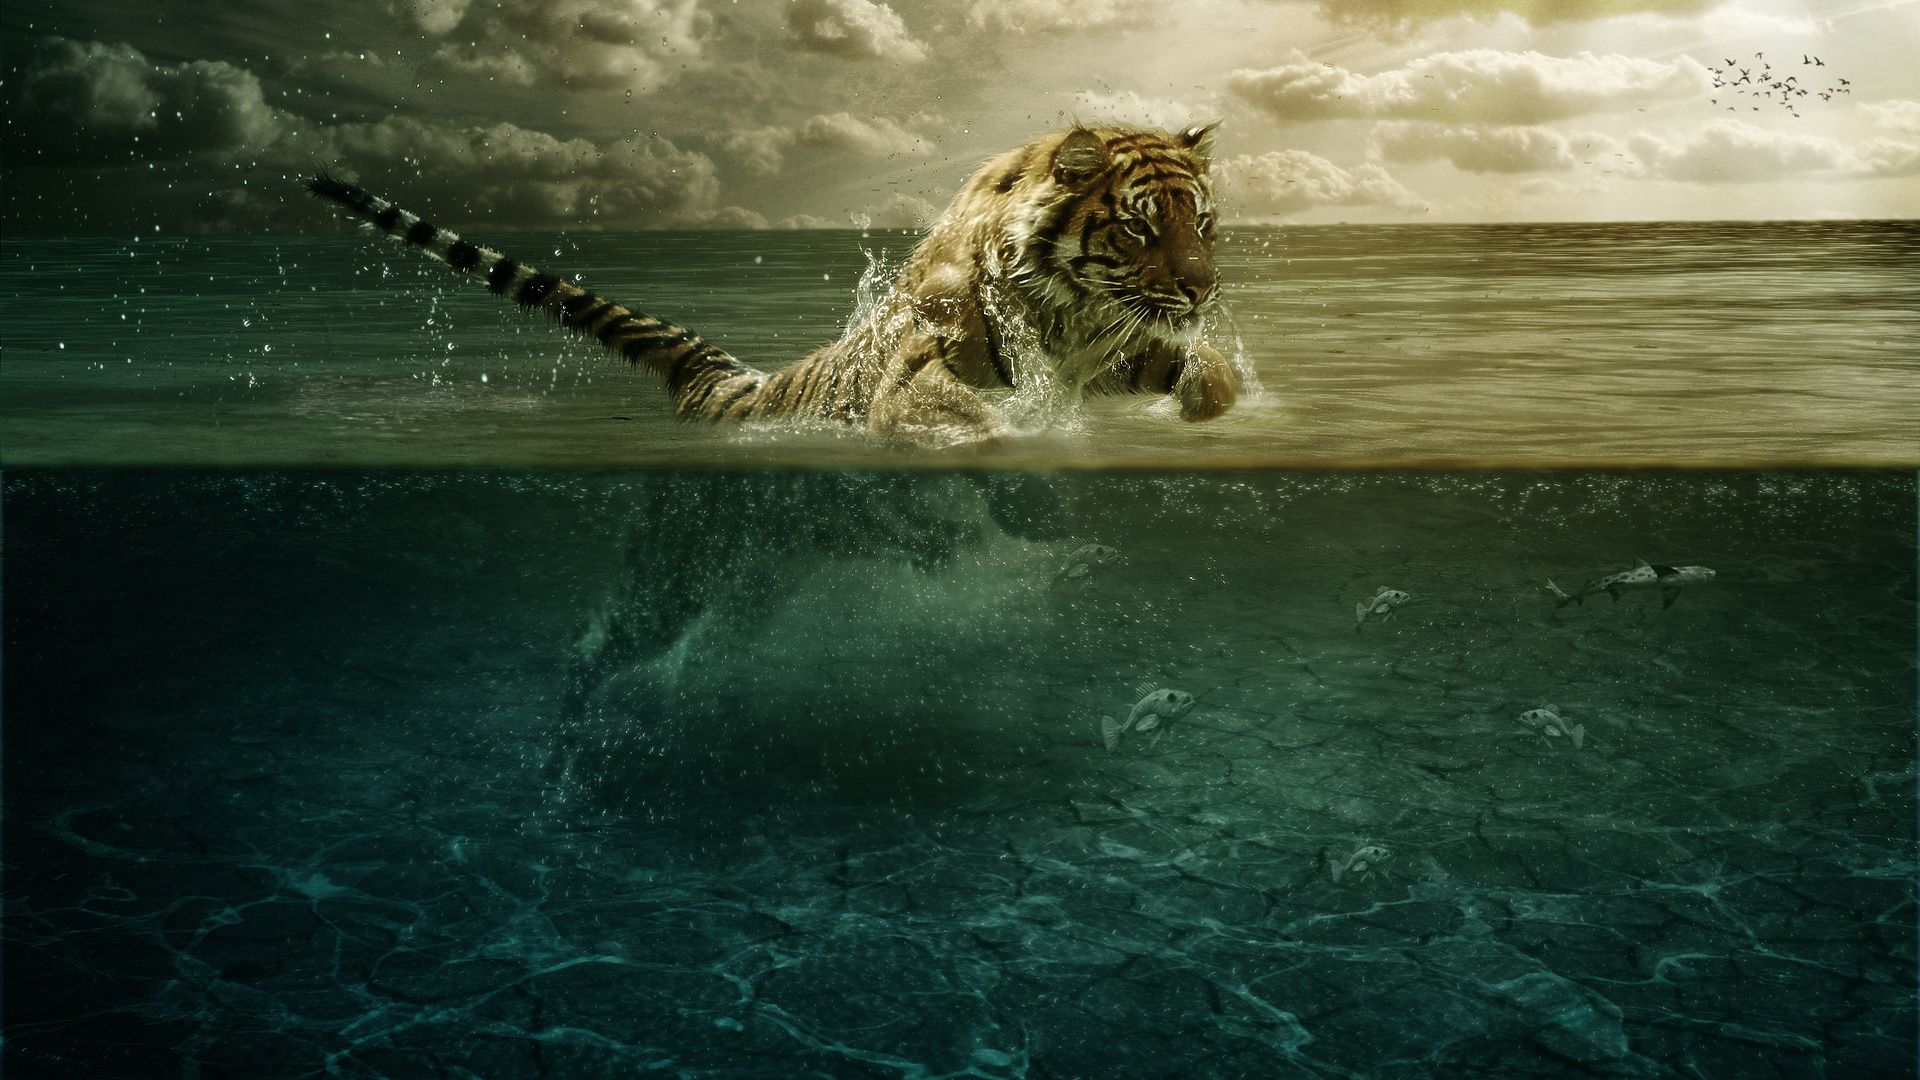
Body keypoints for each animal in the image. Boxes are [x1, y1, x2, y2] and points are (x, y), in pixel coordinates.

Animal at [305, 123, 1239, 445]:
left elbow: (1209, 374)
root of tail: (729, 383)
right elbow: (961, 415)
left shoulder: (1123, 349)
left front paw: (1206, 406)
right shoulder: (922, 365)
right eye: (1138, 227)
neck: (1072, 317)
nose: (1203, 291)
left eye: (1202, 223)